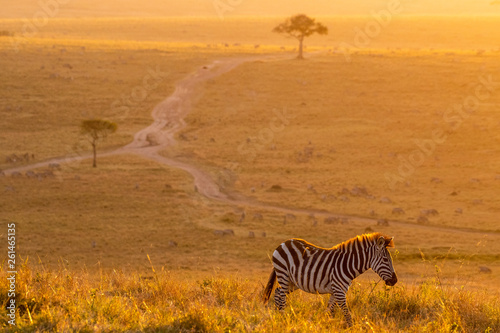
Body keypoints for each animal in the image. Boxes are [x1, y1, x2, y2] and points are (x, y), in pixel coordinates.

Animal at [262, 232, 398, 326]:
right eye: (385, 259)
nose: (395, 280)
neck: (347, 264)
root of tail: (284, 243)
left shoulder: (335, 291)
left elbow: (329, 311)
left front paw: (325, 325)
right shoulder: (339, 291)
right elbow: (347, 314)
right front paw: (351, 328)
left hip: (293, 281)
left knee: (278, 292)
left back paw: (278, 316)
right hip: (283, 274)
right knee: (281, 295)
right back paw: (282, 317)